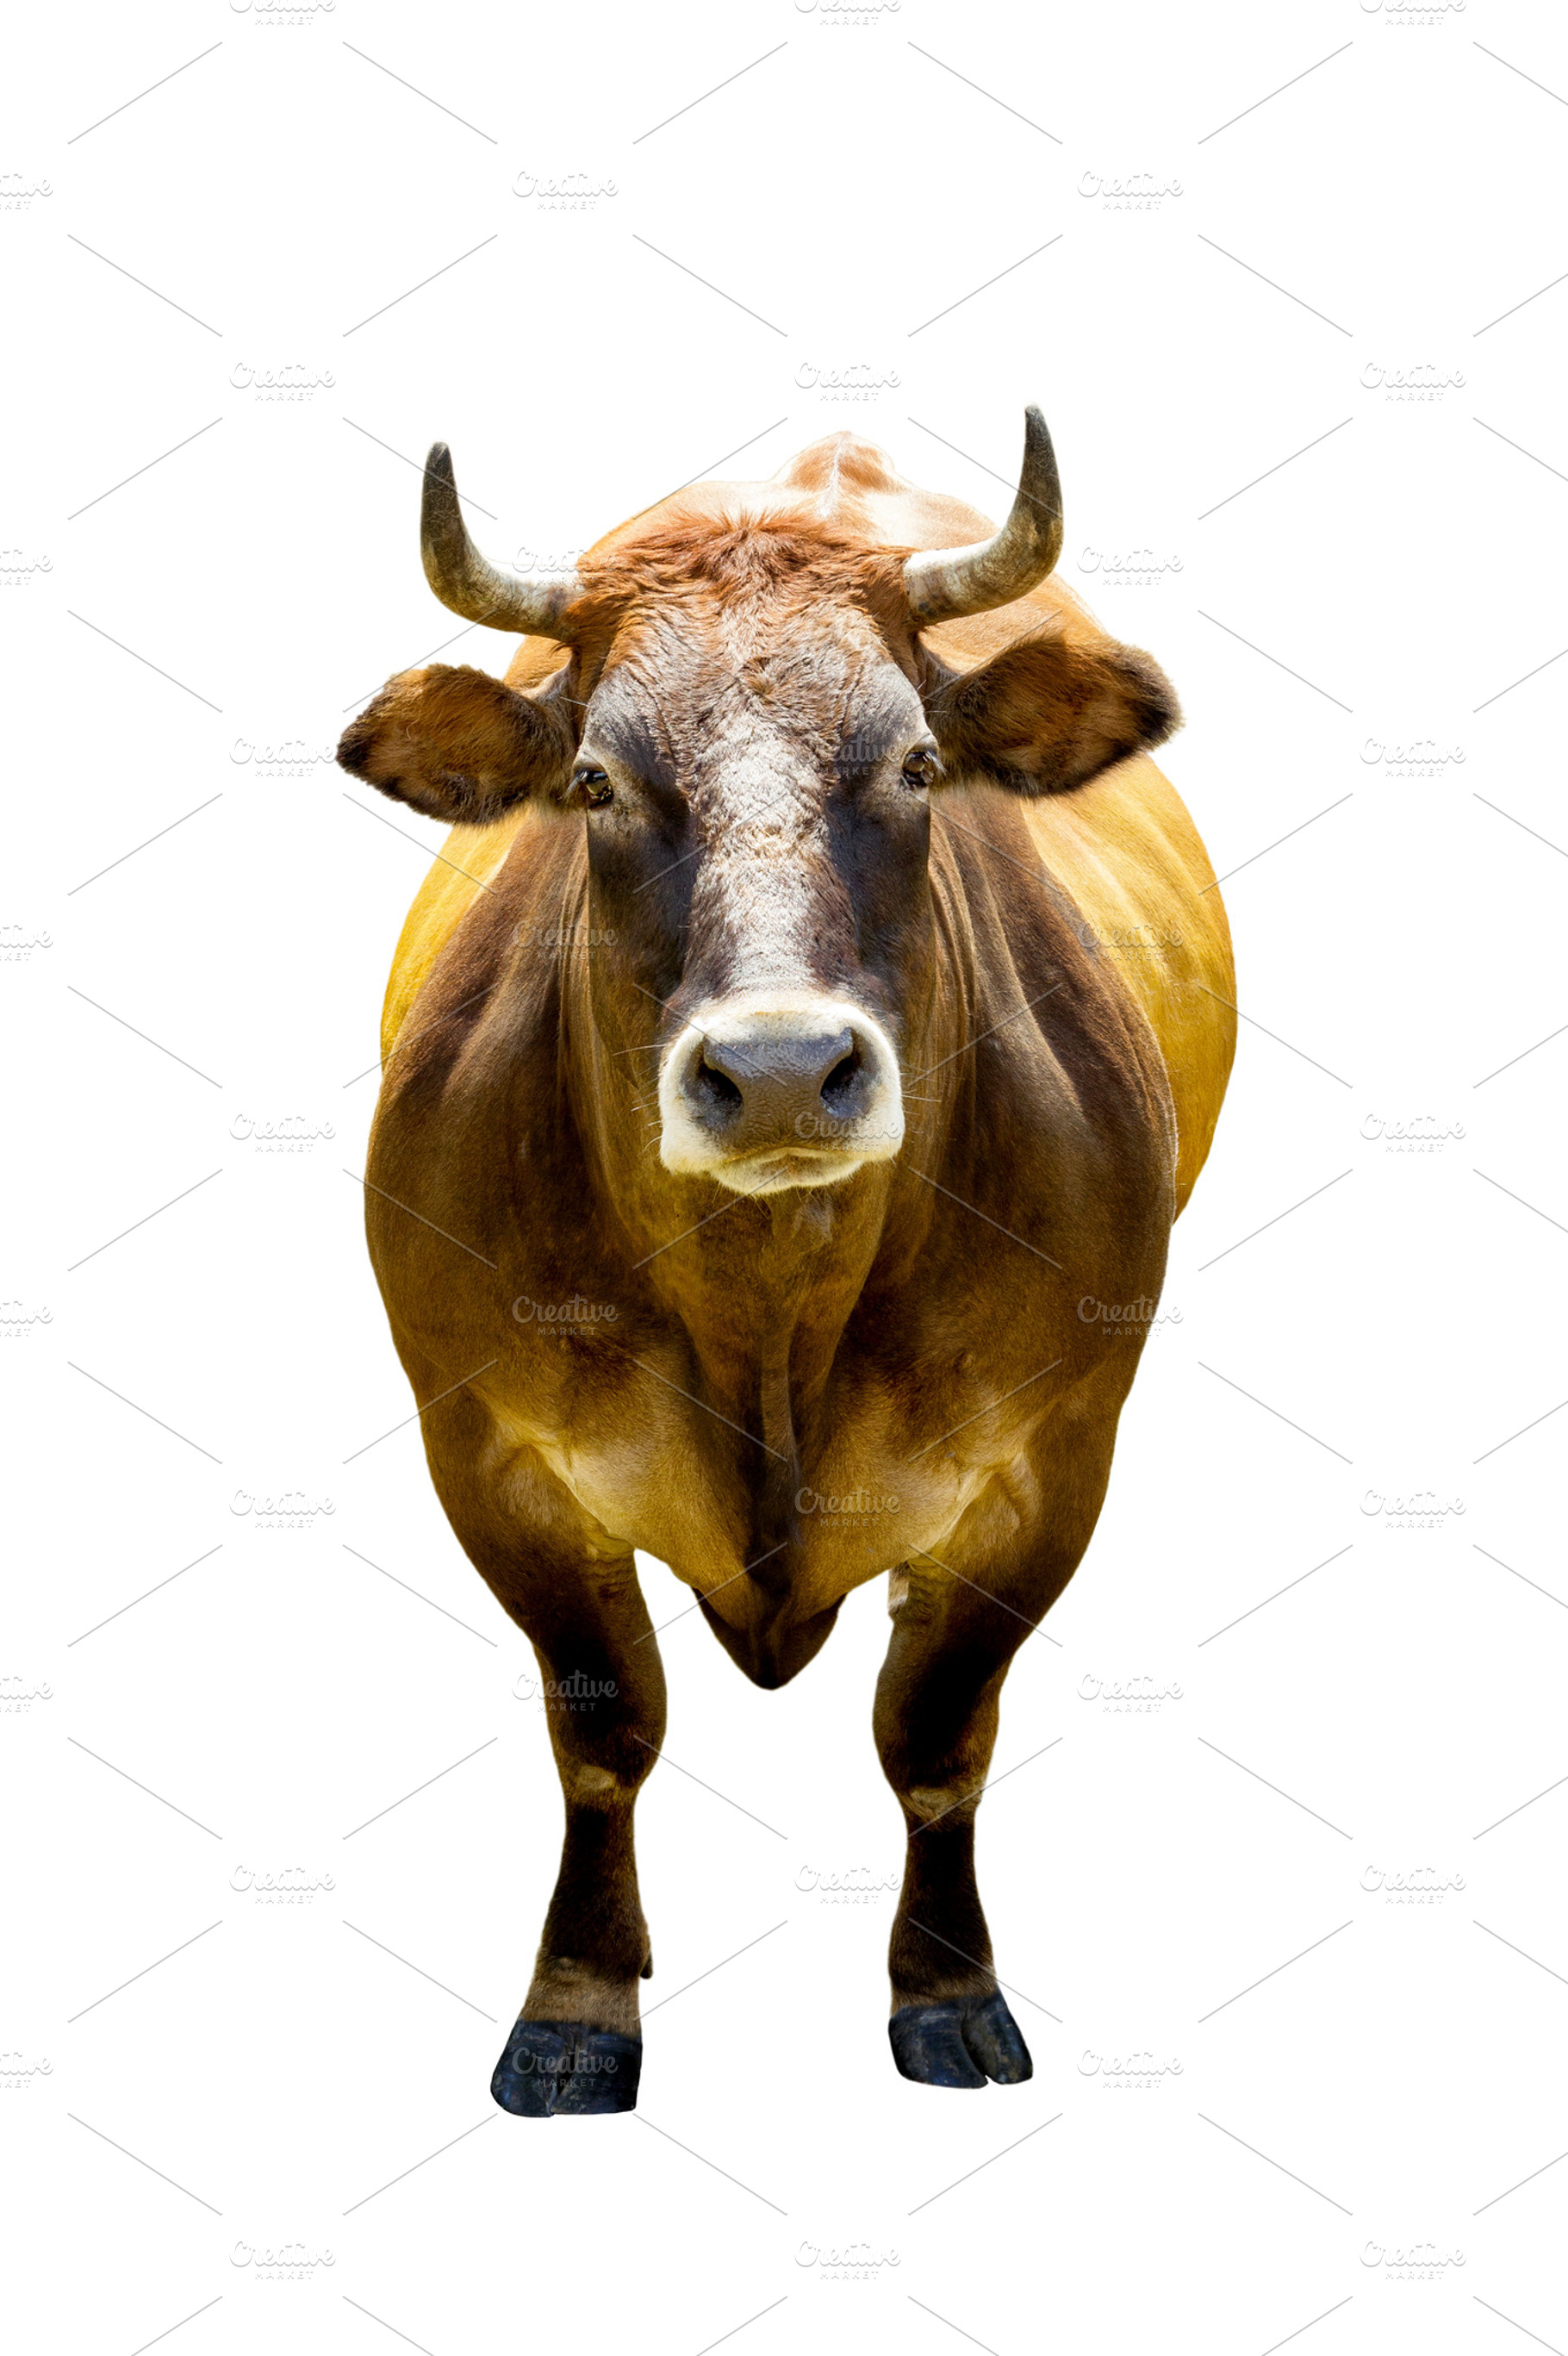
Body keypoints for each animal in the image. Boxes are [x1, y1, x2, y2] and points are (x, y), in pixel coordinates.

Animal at [337, 410, 1235, 2114]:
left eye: (920, 762)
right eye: (595, 779)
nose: (774, 1072)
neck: (769, 1304)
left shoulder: (1053, 1457)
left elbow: (937, 1730)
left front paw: (948, 1991)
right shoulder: (487, 1446)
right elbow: (604, 1724)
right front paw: (576, 2005)